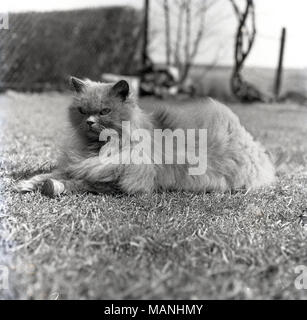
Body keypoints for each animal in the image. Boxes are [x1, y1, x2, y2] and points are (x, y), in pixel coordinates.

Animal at [15, 77, 276, 198]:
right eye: (82, 111)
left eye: (104, 111)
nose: (89, 122)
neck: (99, 148)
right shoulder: (80, 165)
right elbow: (50, 174)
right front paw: (27, 184)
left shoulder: (118, 182)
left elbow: (77, 183)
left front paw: (51, 187)